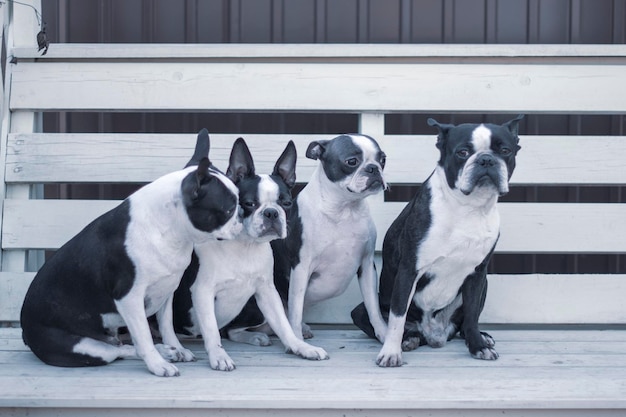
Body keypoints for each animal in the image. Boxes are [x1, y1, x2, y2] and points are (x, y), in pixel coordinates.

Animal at [20, 128, 241, 376]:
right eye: (229, 210)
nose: (244, 214)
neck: (169, 229)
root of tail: (25, 330)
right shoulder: (129, 298)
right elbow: (143, 336)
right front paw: (158, 365)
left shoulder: (167, 289)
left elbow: (166, 325)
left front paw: (175, 347)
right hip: (82, 347)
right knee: (119, 350)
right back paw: (160, 356)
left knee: (123, 347)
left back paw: (166, 351)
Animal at [171, 137, 326, 370]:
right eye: (249, 203)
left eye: (286, 203)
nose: (271, 213)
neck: (245, 246)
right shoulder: (202, 291)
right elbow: (211, 330)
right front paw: (219, 356)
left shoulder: (267, 291)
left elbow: (284, 325)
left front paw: (300, 347)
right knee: (227, 332)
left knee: (233, 330)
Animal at [270, 135, 388, 340]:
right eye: (352, 161)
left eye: (383, 160)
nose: (374, 168)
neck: (344, 210)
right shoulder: (300, 268)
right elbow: (296, 311)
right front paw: (297, 340)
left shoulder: (367, 266)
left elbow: (373, 307)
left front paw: (382, 334)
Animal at [352, 115, 520, 366]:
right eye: (462, 152)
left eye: (505, 150)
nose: (486, 159)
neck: (468, 206)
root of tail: (434, 334)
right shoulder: (408, 270)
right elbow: (397, 317)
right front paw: (391, 352)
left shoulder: (478, 275)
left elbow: (472, 315)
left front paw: (478, 346)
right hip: (366, 309)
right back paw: (409, 339)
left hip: (484, 285)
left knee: (463, 324)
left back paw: (481, 337)